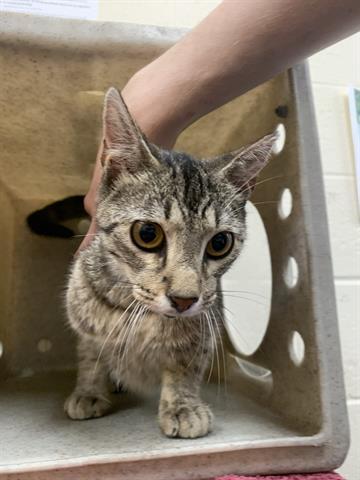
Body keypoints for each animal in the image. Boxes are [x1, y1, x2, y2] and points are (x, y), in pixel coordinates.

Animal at [64, 87, 276, 438]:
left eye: (220, 243)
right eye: (147, 234)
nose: (184, 299)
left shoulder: (204, 327)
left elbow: (184, 365)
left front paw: (183, 405)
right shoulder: (83, 319)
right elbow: (90, 353)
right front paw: (88, 390)